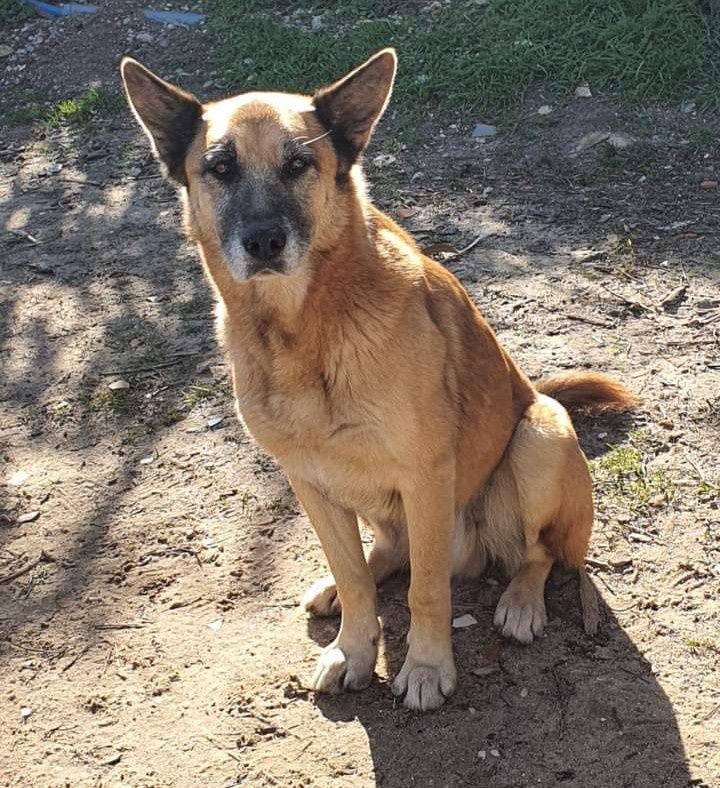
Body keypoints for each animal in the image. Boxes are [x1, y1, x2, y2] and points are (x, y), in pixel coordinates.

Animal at [124, 49, 636, 716]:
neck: (306, 331)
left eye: (299, 164)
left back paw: (522, 601)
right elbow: (355, 578)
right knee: (385, 555)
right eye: (220, 168)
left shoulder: (426, 476)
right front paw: (353, 649)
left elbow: (427, 590)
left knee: (538, 553)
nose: (263, 241)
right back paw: (343, 586)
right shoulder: (310, 480)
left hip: (539, 435)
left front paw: (426, 666)